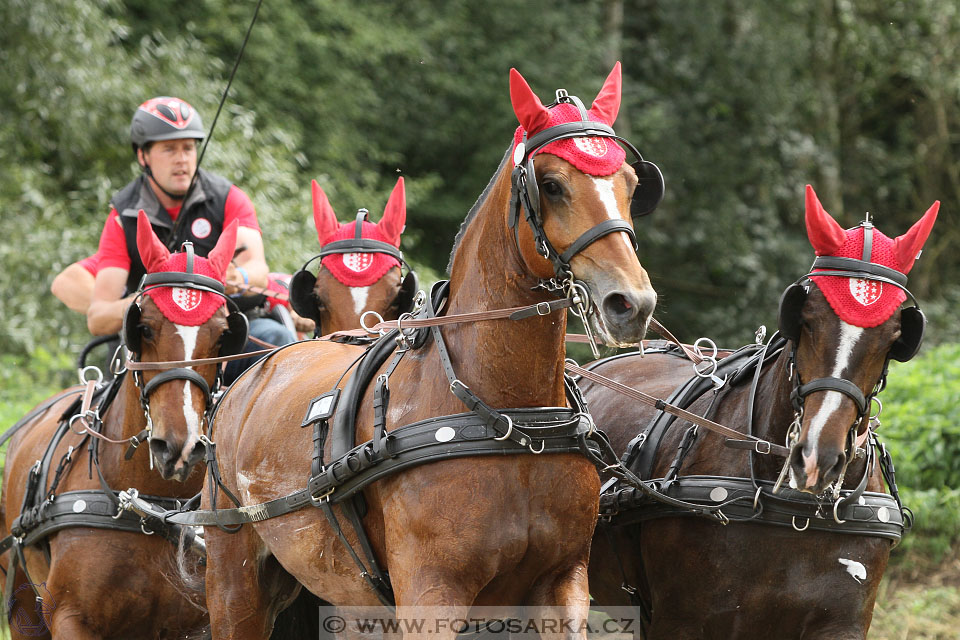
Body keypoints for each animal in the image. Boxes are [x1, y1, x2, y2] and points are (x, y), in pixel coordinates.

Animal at [195, 63, 660, 640]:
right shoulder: (432, 592)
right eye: (551, 185)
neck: (510, 417)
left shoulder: (563, 584)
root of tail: (247, 380)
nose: (631, 303)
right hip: (235, 583)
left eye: (632, 185)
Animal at [584, 182, 936, 636]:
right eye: (805, 316)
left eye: (894, 336)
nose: (817, 460)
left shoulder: (840, 623)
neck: (795, 510)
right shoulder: (682, 621)